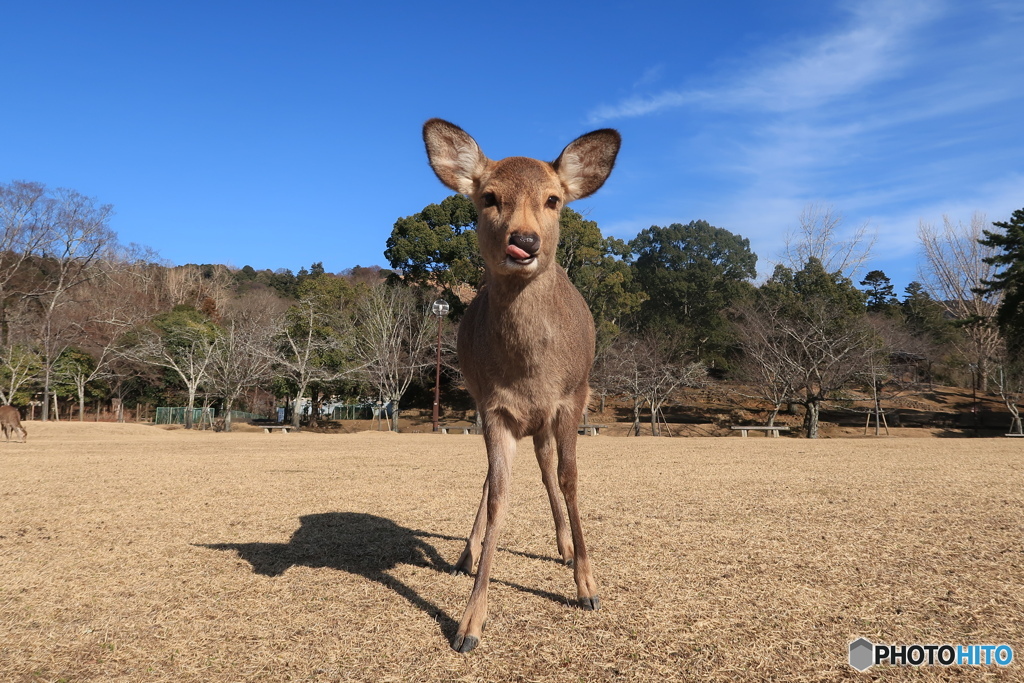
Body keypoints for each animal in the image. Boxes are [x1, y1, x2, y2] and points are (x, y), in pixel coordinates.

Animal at [419, 120, 618, 655]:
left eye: (553, 200)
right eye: (488, 197)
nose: (523, 241)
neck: (531, 374)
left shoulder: (571, 399)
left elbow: (569, 481)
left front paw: (588, 588)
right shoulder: (493, 408)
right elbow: (499, 494)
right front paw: (469, 624)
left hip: (552, 418)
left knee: (549, 472)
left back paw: (565, 550)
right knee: (492, 481)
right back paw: (464, 555)